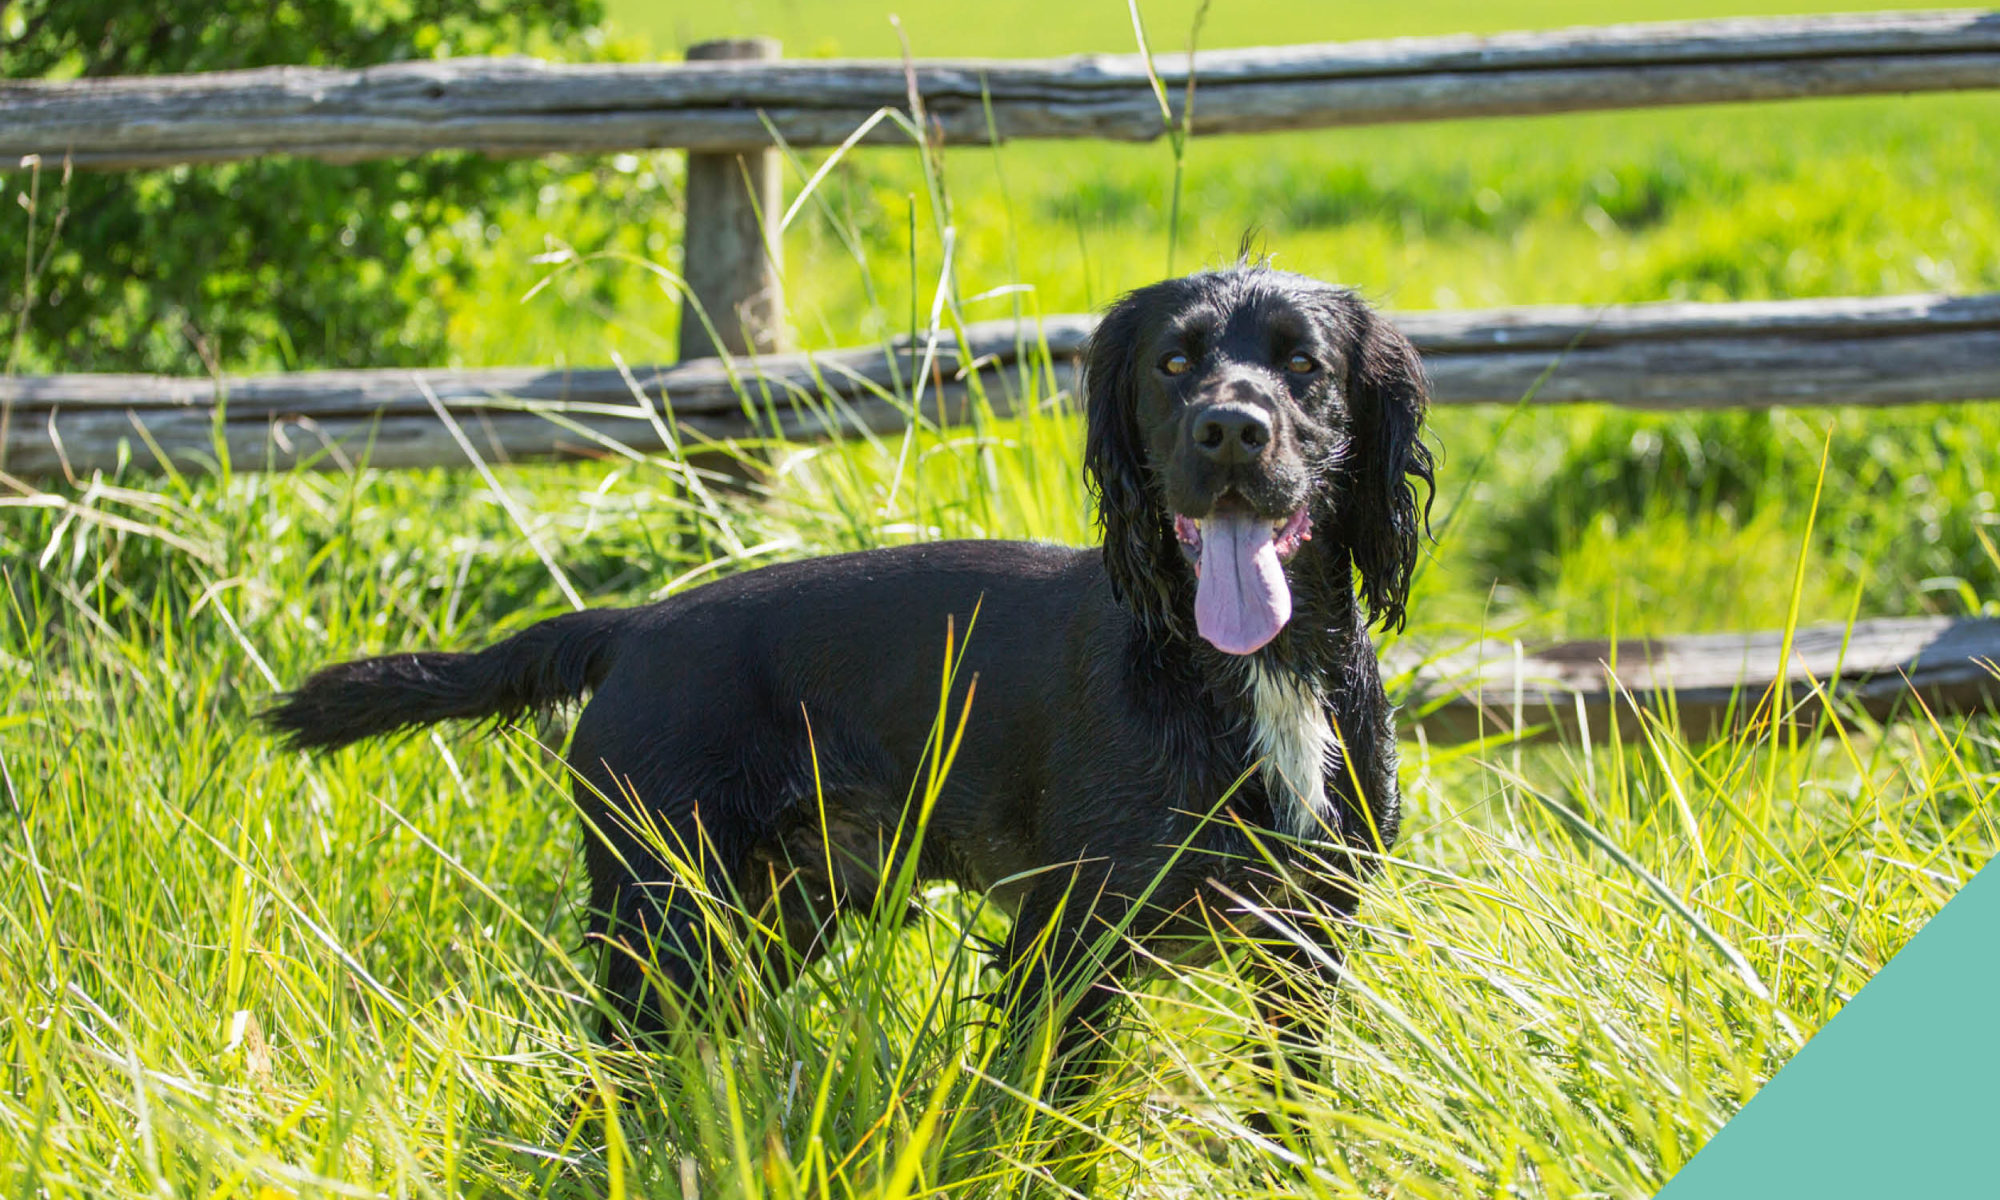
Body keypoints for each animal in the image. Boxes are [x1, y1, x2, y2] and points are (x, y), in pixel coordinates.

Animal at [266, 264, 1432, 1096]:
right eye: (1173, 364)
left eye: (1304, 366)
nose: (1230, 430)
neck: (1253, 676)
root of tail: (635, 626)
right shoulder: (1066, 947)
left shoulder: (1307, 945)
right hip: (661, 921)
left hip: (773, 921)